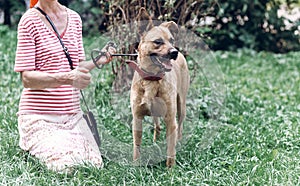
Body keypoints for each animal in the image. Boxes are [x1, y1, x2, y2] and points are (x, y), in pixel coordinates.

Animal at [129, 8, 189, 167]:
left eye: (172, 40)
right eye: (158, 42)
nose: (174, 52)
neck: (152, 79)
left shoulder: (171, 120)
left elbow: (170, 149)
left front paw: (170, 169)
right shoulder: (137, 117)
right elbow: (136, 145)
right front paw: (135, 165)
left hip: (181, 105)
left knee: (180, 128)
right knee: (157, 126)